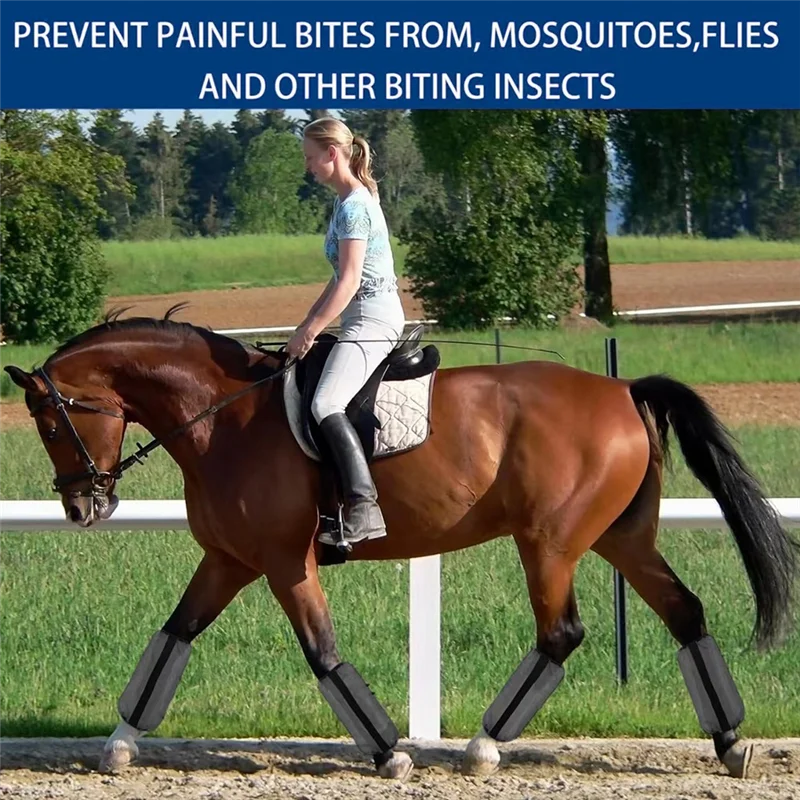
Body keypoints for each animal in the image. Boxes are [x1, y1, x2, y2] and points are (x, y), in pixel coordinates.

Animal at [4, 306, 797, 782]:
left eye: (49, 421)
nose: (82, 505)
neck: (221, 418)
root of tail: (622, 389)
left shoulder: (285, 563)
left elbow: (323, 653)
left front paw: (388, 751)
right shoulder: (227, 560)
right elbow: (173, 638)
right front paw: (119, 742)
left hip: (549, 544)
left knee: (562, 633)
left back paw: (484, 747)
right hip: (618, 540)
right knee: (685, 613)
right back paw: (730, 743)